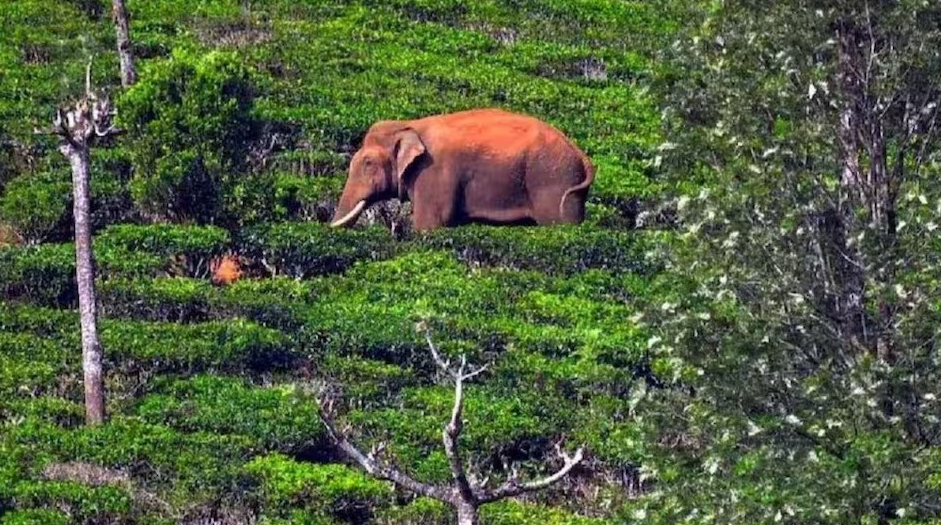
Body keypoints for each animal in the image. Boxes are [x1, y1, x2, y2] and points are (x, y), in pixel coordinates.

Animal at [328, 107, 596, 228]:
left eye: (368, 163)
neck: (410, 124)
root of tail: (582, 156)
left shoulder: (433, 172)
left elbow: (430, 224)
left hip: (553, 181)